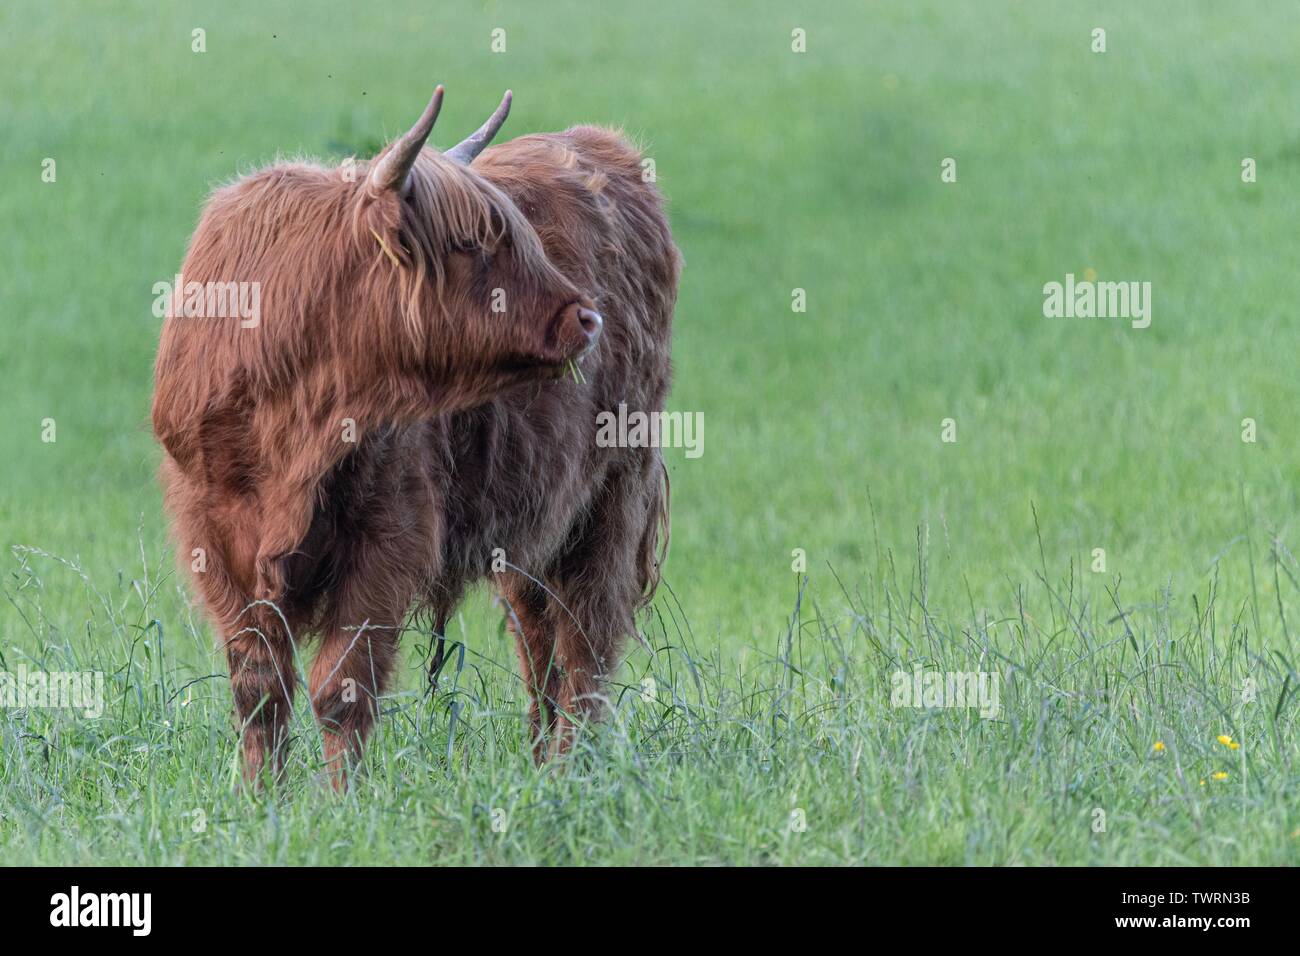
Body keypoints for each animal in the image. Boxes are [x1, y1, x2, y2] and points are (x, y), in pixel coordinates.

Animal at [151, 86, 679, 786]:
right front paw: (262, 797)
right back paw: (541, 766)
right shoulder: (214, 538)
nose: (586, 317)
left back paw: (573, 773)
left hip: (615, 491)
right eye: (470, 242)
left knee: (586, 639)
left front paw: (338, 800)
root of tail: (603, 144)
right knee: (538, 638)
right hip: (536, 515)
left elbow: (341, 687)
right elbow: (259, 689)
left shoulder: (388, 538)